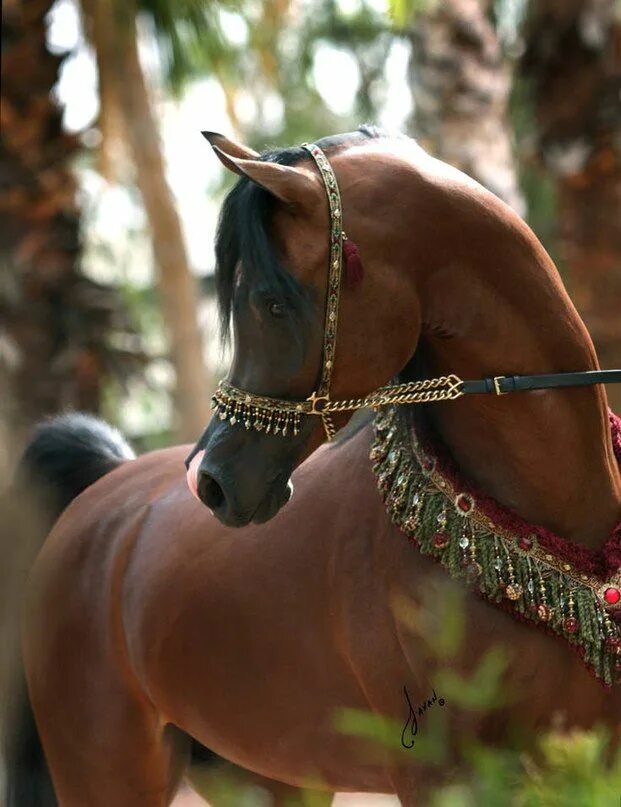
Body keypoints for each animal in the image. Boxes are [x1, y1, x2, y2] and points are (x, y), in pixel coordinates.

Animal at [8, 129, 620, 804]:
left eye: (273, 303)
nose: (212, 482)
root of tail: (103, 488)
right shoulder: (442, 775)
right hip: (105, 772)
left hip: (266, 774)